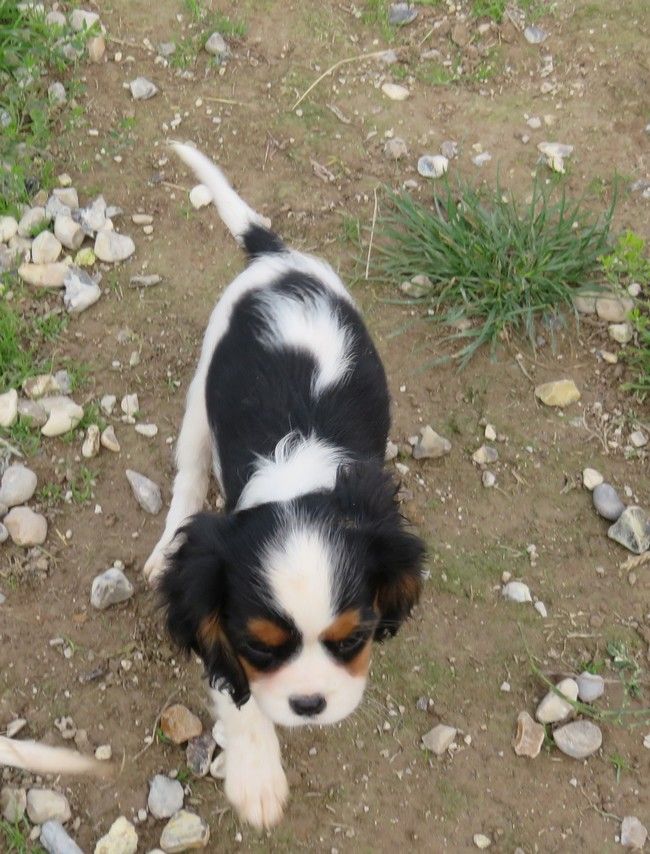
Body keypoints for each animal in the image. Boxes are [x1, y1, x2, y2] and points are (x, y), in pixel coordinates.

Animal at [144, 143, 425, 829]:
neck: (298, 473)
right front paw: (257, 778)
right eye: (261, 647)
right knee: (189, 473)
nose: (308, 705)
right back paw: (164, 548)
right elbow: (237, 694)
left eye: (352, 639)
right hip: (201, 393)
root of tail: (277, 257)